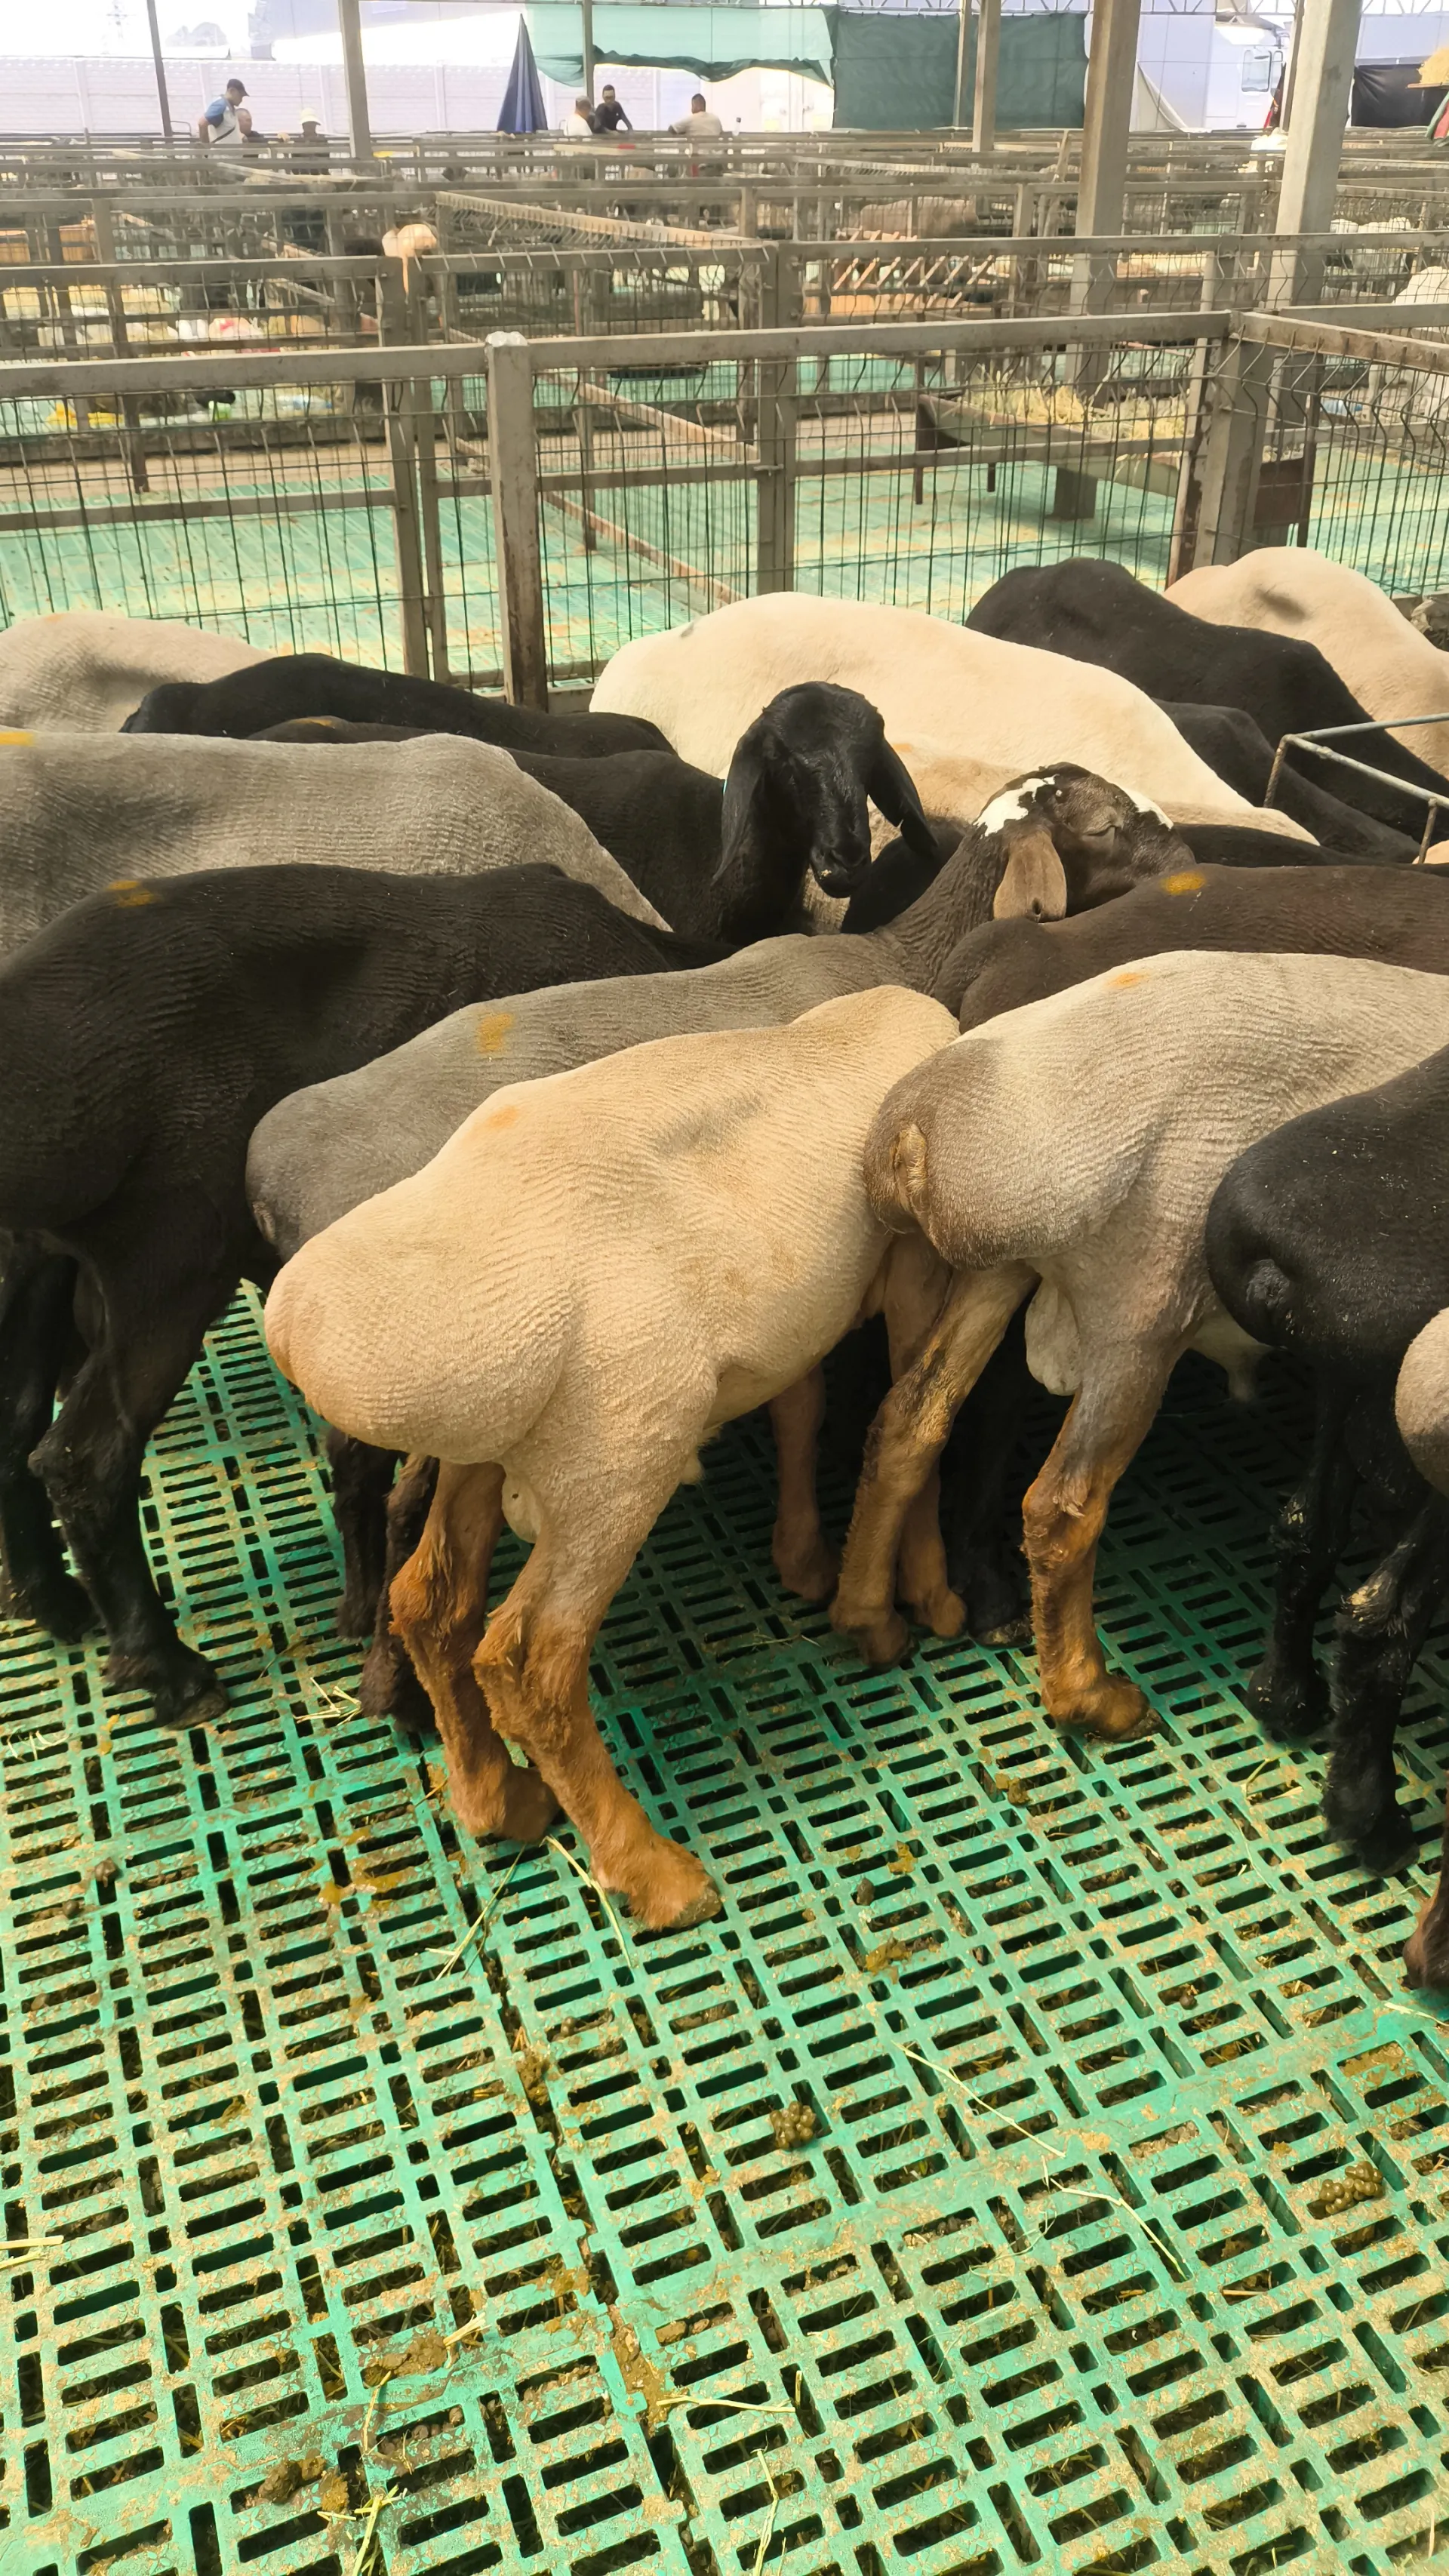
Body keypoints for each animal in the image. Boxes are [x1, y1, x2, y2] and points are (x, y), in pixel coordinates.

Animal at [0, 863, 714, 1724]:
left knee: (13, 1424)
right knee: (85, 1457)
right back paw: (169, 1668)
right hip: (168, 1257)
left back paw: (49, 1601)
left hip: (37, 1260)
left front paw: (362, 1610)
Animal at [263, 989, 959, 1930]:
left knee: (429, 1604)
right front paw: (908, 1605)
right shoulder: (917, 1262)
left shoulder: (790, 1324)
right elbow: (915, 1418)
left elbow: (803, 1406)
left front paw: (808, 1560)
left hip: (496, 1441)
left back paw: (500, 1802)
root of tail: (304, 1327)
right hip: (622, 1446)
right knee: (528, 1661)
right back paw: (657, 1874)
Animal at [827, 952, 1449, 1753]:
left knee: (909, 1420)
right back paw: (1097, 1699)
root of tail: (915, 1131)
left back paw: (867, 1617)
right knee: (1061, 1507)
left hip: (1003, 1271)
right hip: (1144, 1299)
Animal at [1205, 1039, 1449, 1878]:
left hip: (1346, 1388)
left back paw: (1284, 1696)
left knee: (1305, 1529)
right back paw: (1371, 1822)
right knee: (1381, 1623)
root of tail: (1276, 1267)